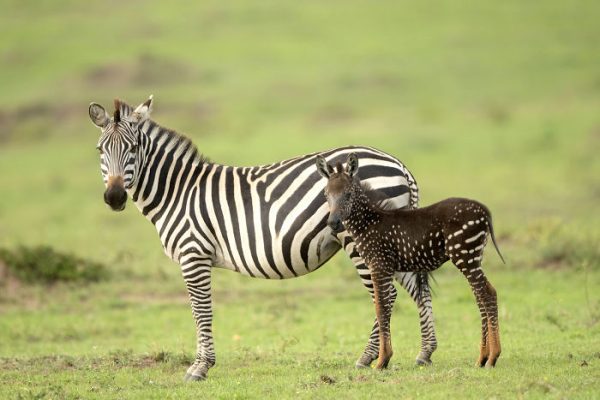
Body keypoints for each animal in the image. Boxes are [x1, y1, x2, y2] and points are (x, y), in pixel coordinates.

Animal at [88, 95, 436, 380]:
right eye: (100, 150)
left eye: (133, 149)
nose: (115, 197)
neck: (178, 192)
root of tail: (398, 164)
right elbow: (199, 309)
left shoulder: (193, 254)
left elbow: (201, 309)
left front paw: (200, 367)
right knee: (415, 289)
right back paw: (424, 353)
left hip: (362, 238)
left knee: (385, 294)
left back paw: (371, 358)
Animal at [316, 152, 504, 368]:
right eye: (326, 195)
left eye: (347, 194)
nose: (333, 223)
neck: (368, 222)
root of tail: (484, 211)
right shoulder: (384, 267)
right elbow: (383, 307)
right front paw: (384, 359)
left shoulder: (379, 265)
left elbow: (381, 308)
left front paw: (382, 360)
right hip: (473, 256)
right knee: (481, 296)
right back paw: (482, 358)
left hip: (465, 255)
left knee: (487, 294)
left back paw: (493, 357)